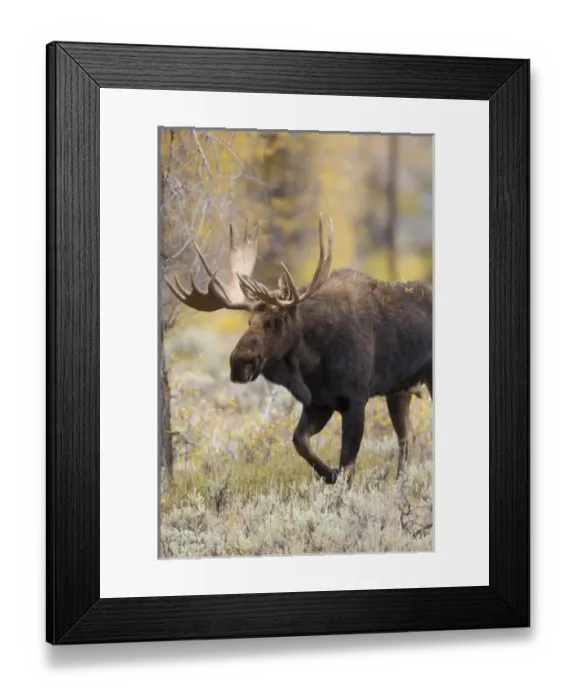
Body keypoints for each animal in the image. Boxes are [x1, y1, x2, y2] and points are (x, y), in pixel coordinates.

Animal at [164, 214, 432, 486]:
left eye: (275, 321)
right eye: (249, 321)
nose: (239, 362)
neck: (312, 363)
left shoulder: (355, 400)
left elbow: (348, 464)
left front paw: (337, 479)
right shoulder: (318, 403)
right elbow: (300, 442)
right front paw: (329, 474)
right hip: (399, 390)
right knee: (407, 437)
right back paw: (399, 485)